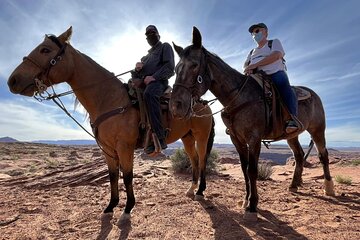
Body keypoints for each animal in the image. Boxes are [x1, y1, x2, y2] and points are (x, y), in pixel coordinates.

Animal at [7, 26, 215, 221]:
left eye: (45, 50)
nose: (12, 81)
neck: (110, 100)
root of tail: (204, 103)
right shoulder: (107, 148)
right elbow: (113, 175)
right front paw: (110, 206)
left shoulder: (124, 146)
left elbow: (128, 176)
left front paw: (127, 209)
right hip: (187, 138)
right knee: (194, 159)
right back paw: (191, 189)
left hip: (201, 136)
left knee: (202, 159)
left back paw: (200, 191)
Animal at [170, 27, 336, 220]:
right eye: (176, 69)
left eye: (194, 65)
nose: (176, 105)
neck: (239, 97)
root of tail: (314, 94)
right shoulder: (237, 139)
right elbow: (244, 169)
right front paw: (245, 200)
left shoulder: (254, 138)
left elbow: (252, 170)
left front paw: (252, 206)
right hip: (291, 135)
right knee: (299, 155)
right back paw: (294, 185)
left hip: (317, 129)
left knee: (323, 155)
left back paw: (329, 188)